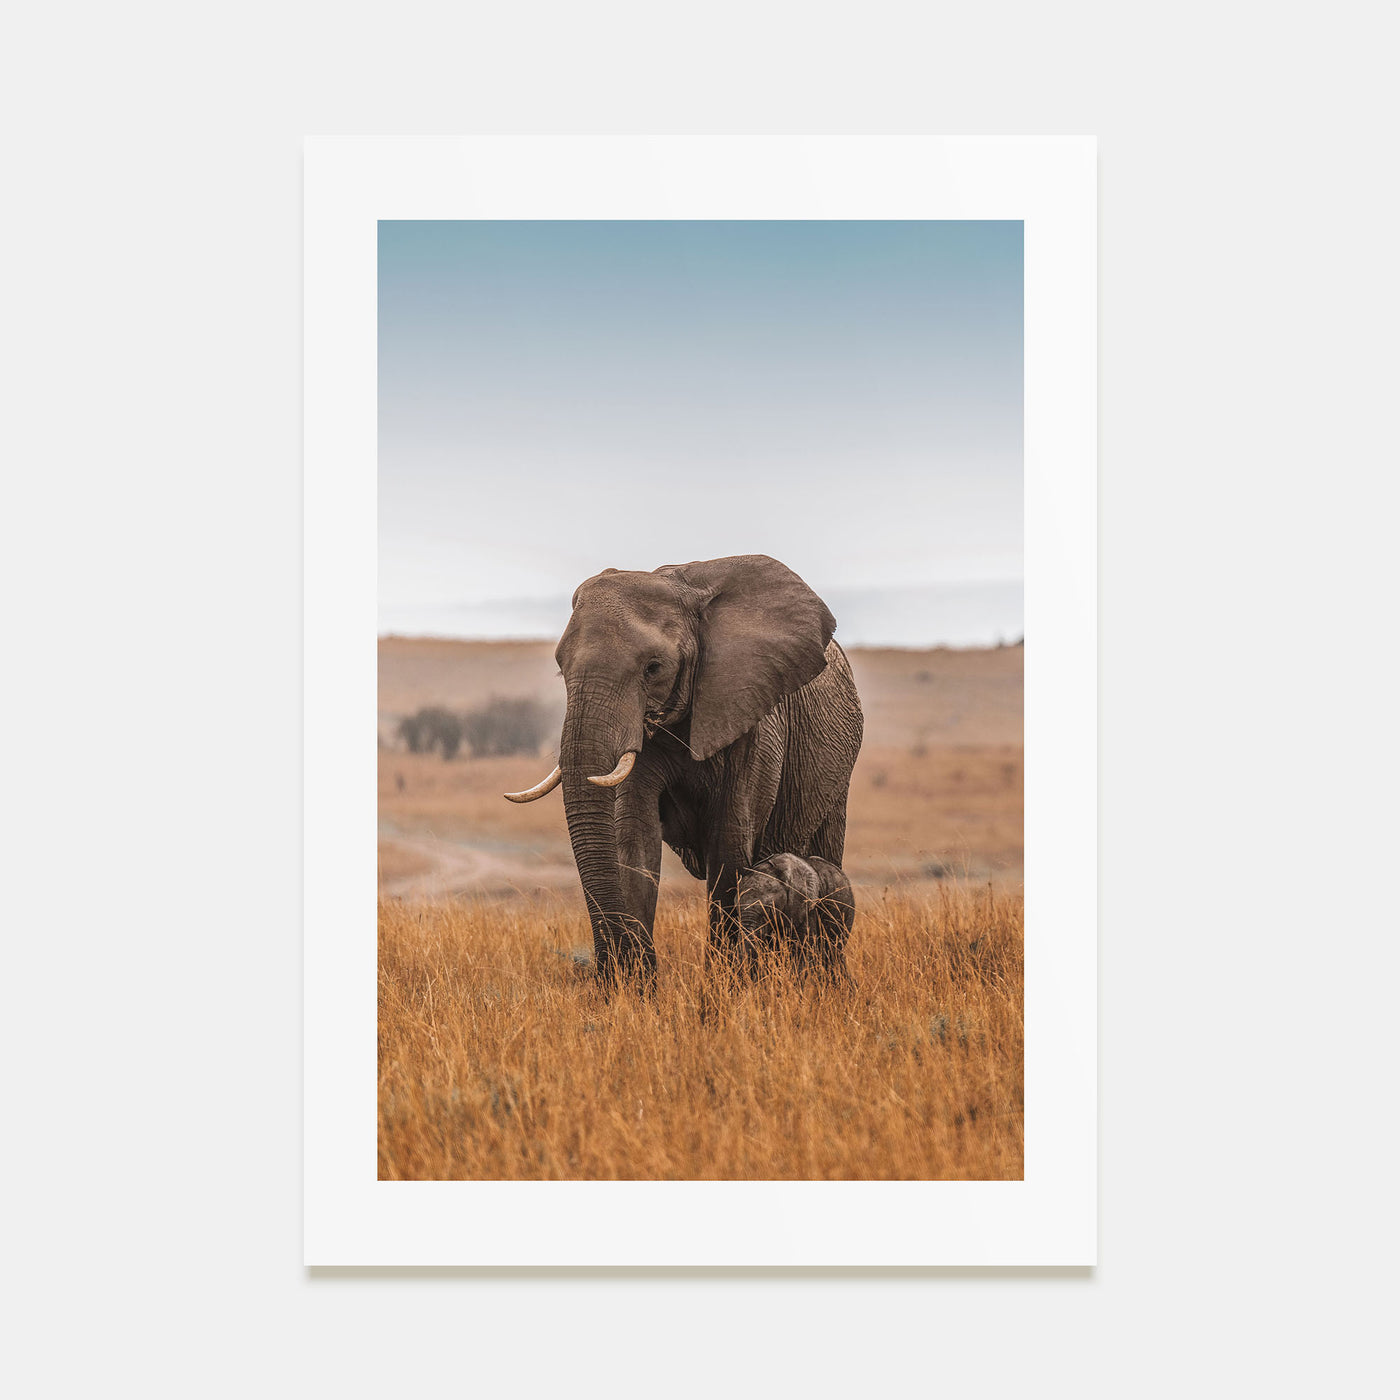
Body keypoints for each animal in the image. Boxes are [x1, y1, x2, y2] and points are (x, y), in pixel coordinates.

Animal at [734, 853, 856, 981]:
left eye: (769, 909)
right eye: (736, 908)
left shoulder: (807, 906)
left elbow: (802, 950)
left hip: (845, 911)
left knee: (833, 952)